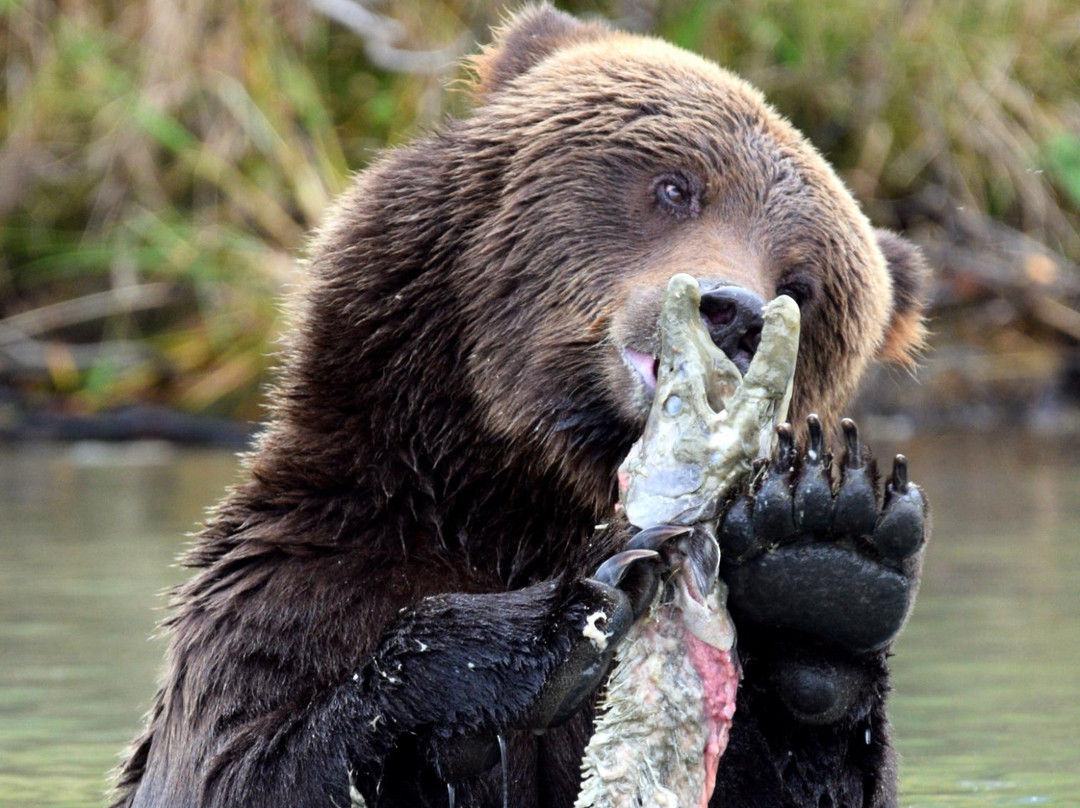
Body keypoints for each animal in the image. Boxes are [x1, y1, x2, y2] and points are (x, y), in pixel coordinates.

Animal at [112, 6, 930, 808]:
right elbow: (243, 763)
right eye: (677, 185)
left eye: (804, 283)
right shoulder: (300, 580)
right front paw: (541, 630)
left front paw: (827, 556)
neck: (507, 498)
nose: (735, 313)